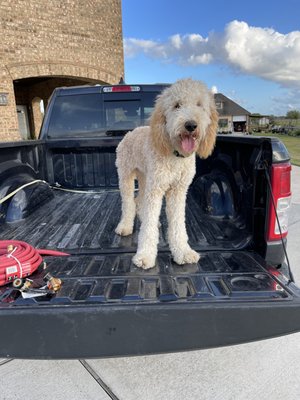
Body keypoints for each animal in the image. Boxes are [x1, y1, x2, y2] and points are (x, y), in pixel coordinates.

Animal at [115, 78, 218, 270]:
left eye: (200, 105)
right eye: (177, 105)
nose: (191, 125)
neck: (175, 155)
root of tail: (130, 132)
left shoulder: (178, 190)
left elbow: (178, 224)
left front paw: (183, 252)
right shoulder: (156, 189)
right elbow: (148, 227)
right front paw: (145, 255)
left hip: (146, 177)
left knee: (140, 201)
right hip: (126, 175)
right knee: (128, 202)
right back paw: (125, 225)